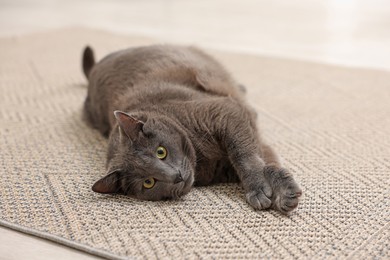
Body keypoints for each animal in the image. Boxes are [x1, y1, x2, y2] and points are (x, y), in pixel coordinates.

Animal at [82, 44, 302, 213]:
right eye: (148, 182)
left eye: (161, 151)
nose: (176, 176)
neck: (202, 159)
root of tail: (94, 69)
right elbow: (262, 157)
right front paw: (278, 192)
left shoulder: (225, 112)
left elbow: (246, 155)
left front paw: (270, 190)